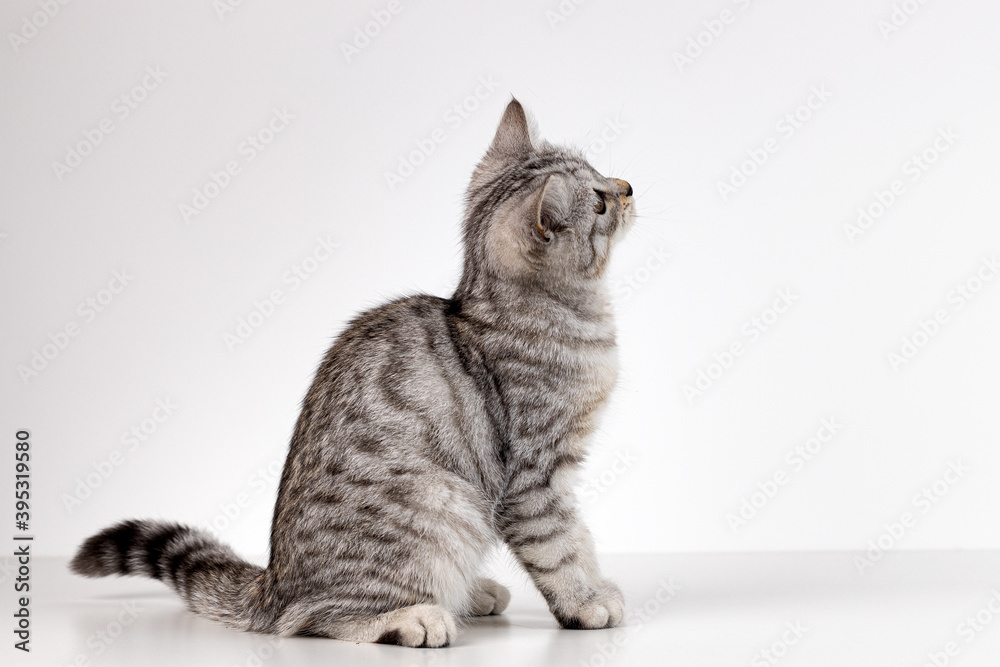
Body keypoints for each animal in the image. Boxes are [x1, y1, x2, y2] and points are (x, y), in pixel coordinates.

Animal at [70, 99, 632, 648]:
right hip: (444, 505)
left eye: (603, 174)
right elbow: (562, 545)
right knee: (310, 618)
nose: (627, 187)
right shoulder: (534, 477)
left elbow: (573, 540)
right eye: (599, 203)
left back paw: (469, 594)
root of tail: (271, 584)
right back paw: (415, 617)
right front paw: (588, 601)